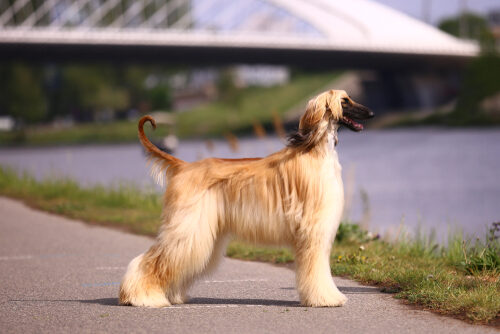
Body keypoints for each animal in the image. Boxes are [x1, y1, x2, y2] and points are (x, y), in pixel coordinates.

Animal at [119, 89, 374, 308]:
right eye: (345, 101)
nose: (371, 113)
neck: (315, 151)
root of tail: (183, 166)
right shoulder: (313, 228)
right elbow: (317, 267)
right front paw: (325, 298)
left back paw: (169, 295)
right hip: (188, 226)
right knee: (153, 259)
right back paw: (142, 296)